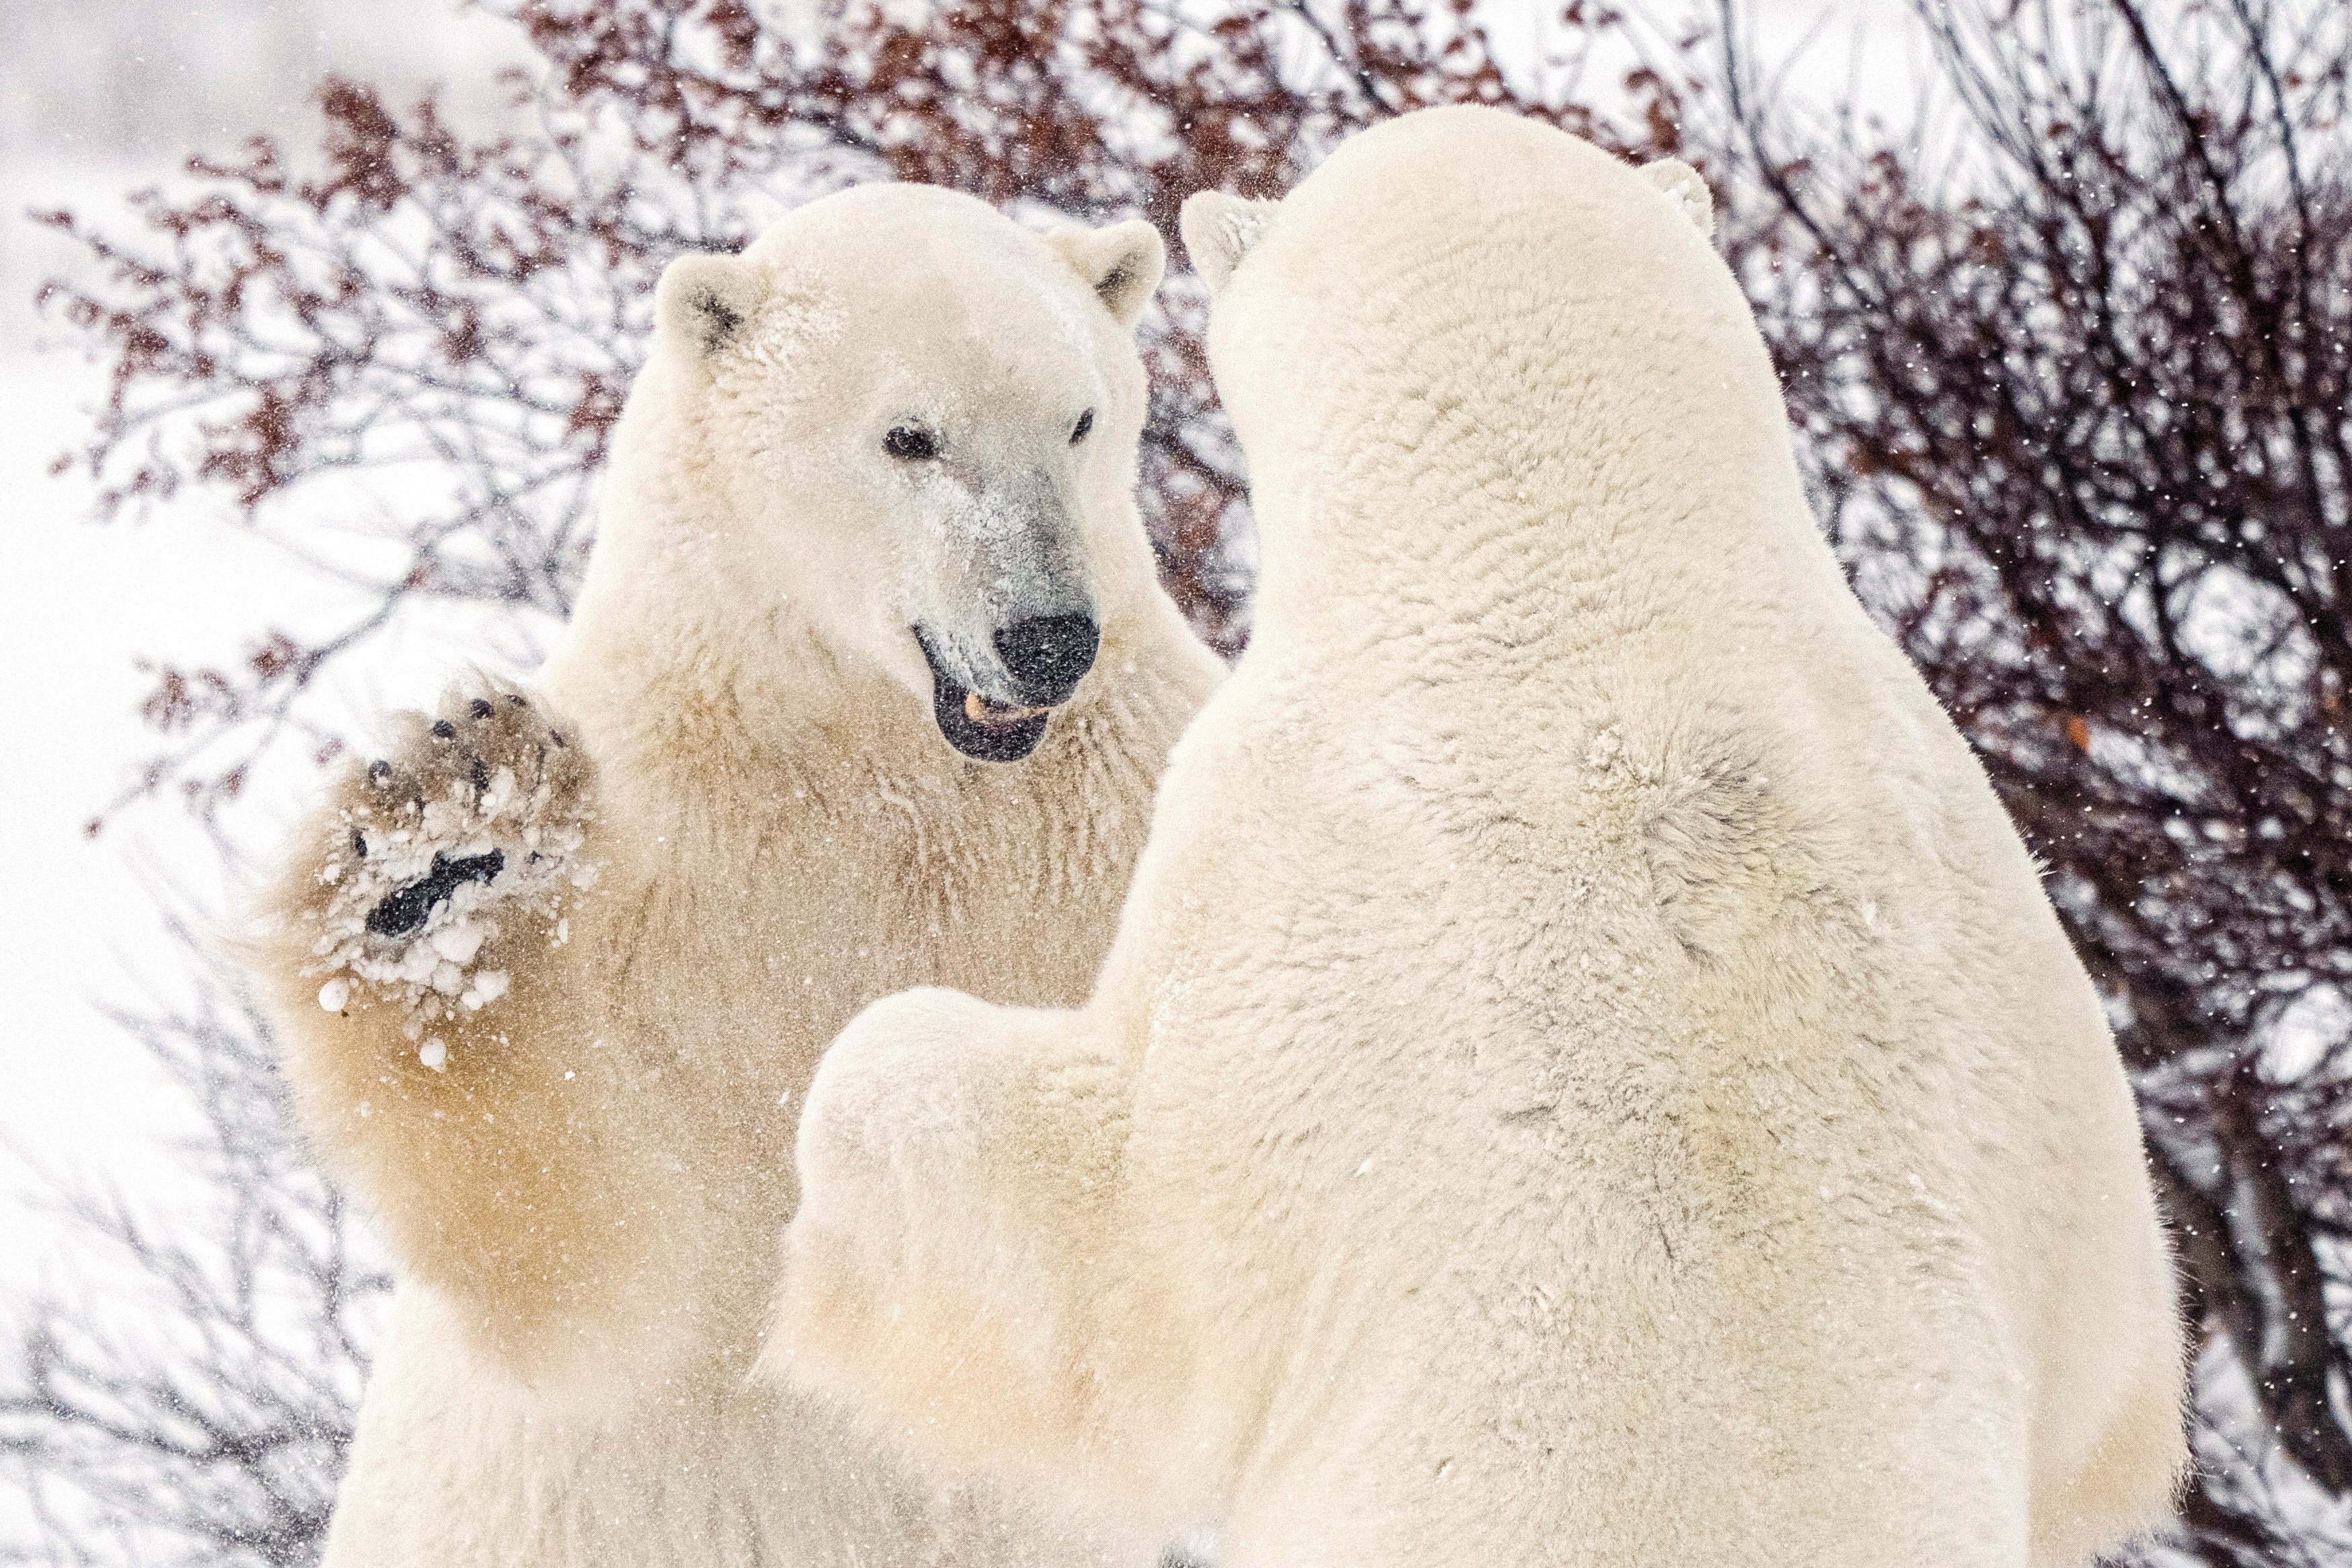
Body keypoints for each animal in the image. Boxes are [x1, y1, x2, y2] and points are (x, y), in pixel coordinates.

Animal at [250, 186, 1222, 1568]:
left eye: (1079, 418)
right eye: (908, 436)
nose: (1046, 637)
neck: (890, 767)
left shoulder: (1132, 800)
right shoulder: (663, 873)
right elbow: (591, 1262)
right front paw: (435, 866)